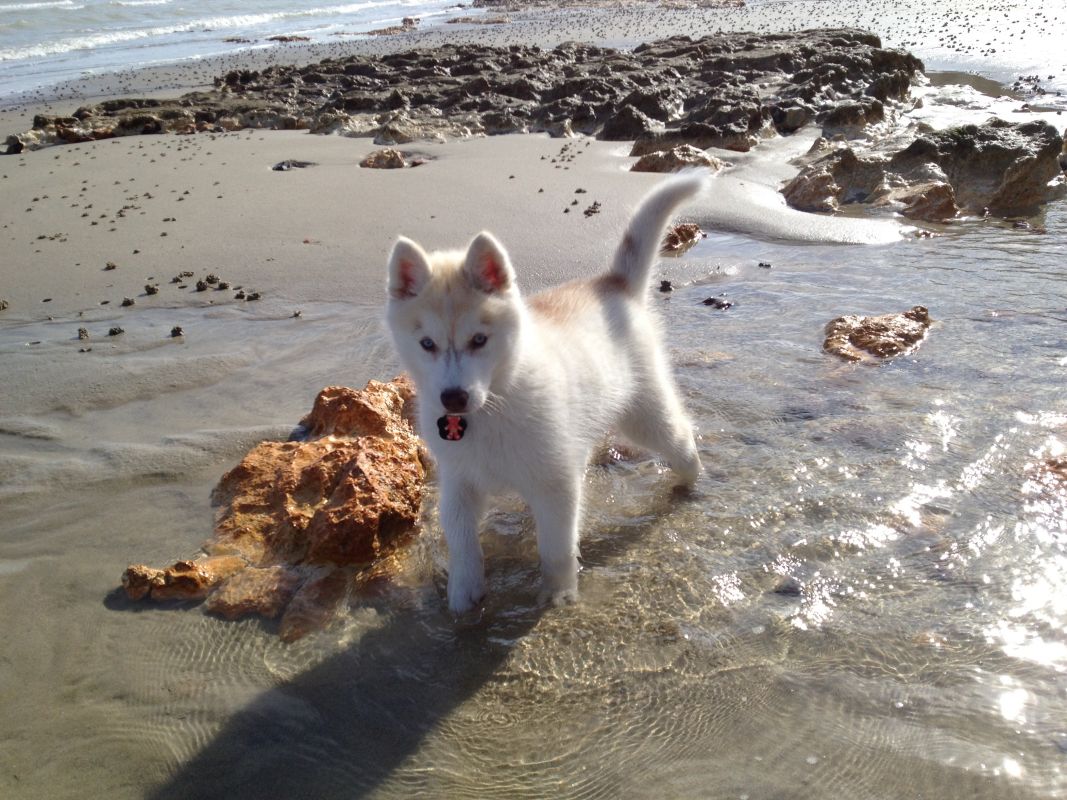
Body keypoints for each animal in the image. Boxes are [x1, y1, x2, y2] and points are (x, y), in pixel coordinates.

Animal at [385, 171, 706, 613]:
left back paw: (690, 479)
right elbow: (462, 542)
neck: (492, 406)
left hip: (643, 414)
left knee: (679, 436)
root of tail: (612, 283)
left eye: (479, 340)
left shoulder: (554, 482)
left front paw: (557, 592)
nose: (453, 399)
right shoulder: (459, 481)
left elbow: (556, 547)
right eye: (427, 344)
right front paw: (463, 595)